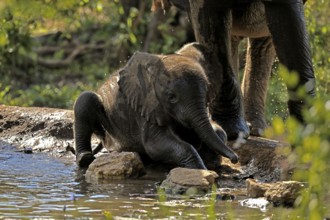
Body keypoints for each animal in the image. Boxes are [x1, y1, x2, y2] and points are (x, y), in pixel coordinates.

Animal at [73, 43, 238, 170]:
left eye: (206, 95)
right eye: (171, 97)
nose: (235, 158)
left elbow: (216, 131)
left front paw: (211, 162)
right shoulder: (145, 107)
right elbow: (155, 144)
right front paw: (199, 169)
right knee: (85, 99)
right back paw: (85, 159)